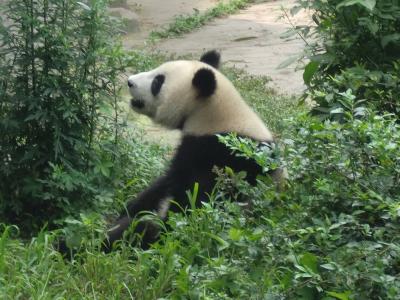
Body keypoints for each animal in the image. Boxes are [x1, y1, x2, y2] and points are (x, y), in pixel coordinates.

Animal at [103, 50, 282, 252]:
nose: (130, 81)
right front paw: (128, 208)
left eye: (158, 82)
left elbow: (193, 206)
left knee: (141, 230)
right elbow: (162, 184)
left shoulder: (221, 158)